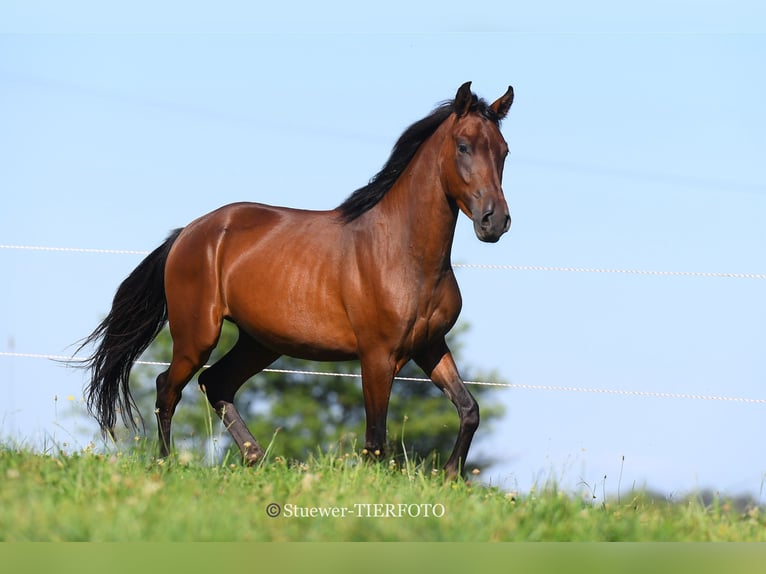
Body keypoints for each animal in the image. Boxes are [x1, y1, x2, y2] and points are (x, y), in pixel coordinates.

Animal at [79, 81, 514, 478]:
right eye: (463, 146)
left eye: (504, 150)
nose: (494, 221)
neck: (403, 254)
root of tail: (188, 233)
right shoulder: (378, 355)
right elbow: (376, 438)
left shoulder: (430, 346)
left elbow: (469, 409)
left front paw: (452, 476)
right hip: (196, 335)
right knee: (167, 387)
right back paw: (166, 463)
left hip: (259, 342)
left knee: (215, 383)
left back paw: (256, 458)